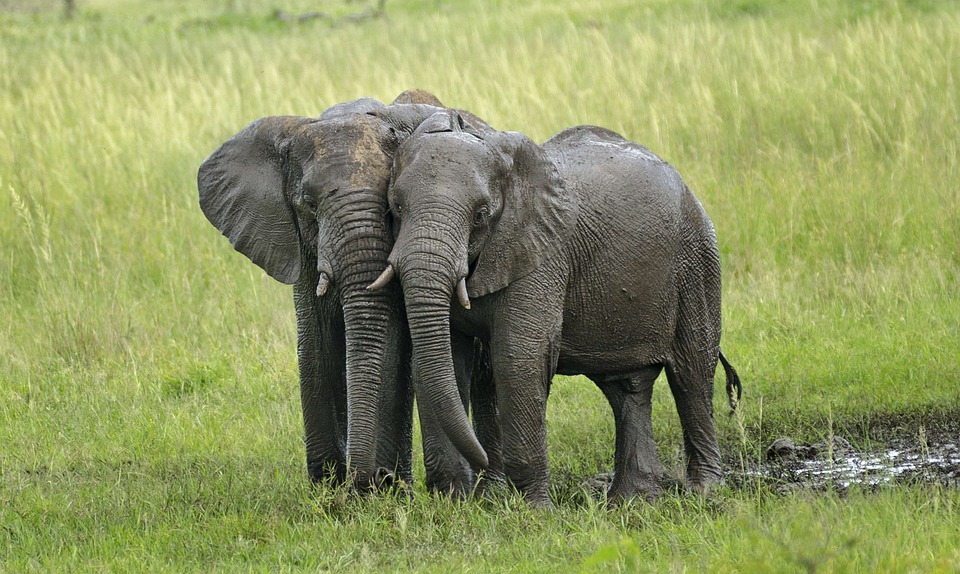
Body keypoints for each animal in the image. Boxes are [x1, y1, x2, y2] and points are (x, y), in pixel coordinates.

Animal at [198, 91, 493, 491]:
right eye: (309, 204)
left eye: (390, 206)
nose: (364, 478)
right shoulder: (302, 249)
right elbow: (316, 343)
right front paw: (327, 486)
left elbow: (388, 342)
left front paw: (377, 488)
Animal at [370, 110, 742, 506]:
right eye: (396, 206)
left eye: (481, 215)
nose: (483, 460)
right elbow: (445, 362)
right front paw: (454, 503)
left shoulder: (542, 254)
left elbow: (517, 358)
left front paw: (533, 510)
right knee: (626, 387)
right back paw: (632, 501)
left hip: (697, 260)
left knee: (692, 373)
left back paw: (703, 492)